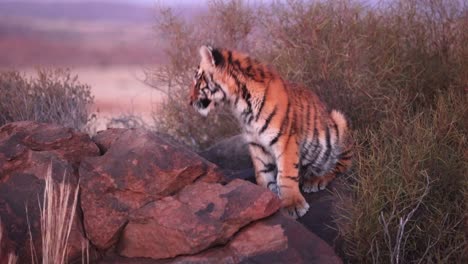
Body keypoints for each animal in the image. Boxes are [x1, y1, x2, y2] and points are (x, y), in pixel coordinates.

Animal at [188, 46, 352, 219]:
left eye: (197, 81)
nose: (189, 101)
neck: (240, 104)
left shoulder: (285, 140)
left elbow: (285, 174)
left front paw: (292, 205)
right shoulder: (256, 143)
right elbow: (263, 173)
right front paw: (268, 201)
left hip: (338, 121)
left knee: (341, 165)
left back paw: (316, 179)